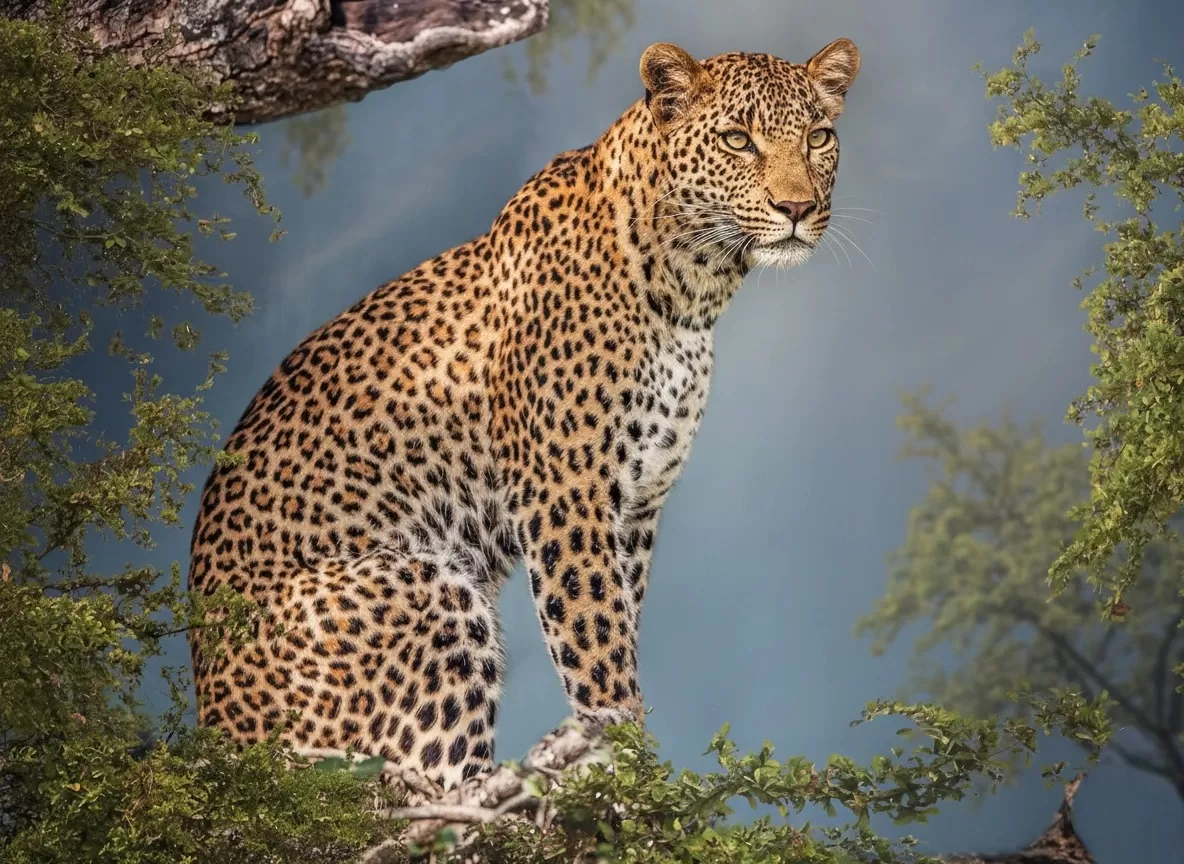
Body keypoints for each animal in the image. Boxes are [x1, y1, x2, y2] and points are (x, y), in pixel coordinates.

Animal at [188, 37, 862, 789]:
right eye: (738, 140)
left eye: (818, 136)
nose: (797, 207)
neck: (690, 289)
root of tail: (214, 740)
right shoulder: (566, 497)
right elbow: (596, 647)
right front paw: (630, 774)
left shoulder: (636, 506)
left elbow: (621, 626)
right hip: (422, 586)